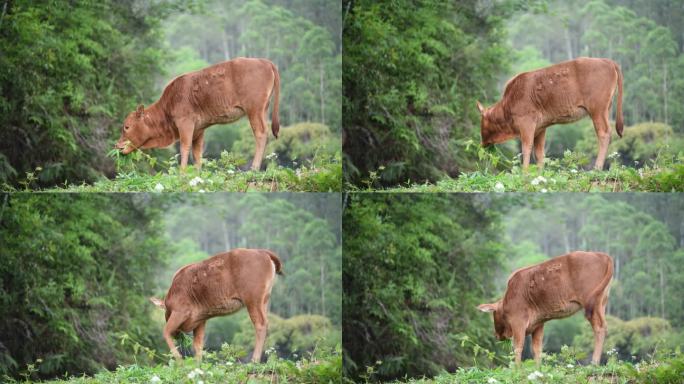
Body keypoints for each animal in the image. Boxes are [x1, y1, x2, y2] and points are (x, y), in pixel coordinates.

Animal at [152, 248, 284, 362]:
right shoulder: (201, 319)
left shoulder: (180, 312)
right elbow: (198, 345)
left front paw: (180, 361)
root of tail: (264, 252)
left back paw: (254, 360)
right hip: (264, 300)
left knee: (260, 324)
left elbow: (165, 331)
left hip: (252, 300)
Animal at [478, 57, 624, 170]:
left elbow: (526, 149)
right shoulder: (540, 128)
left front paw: (524, 173)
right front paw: (539, 173)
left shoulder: (527, 123)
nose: (482, 143)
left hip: (597, 110)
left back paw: (597, 168)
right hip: (604, 110)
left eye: (482, 122)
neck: (507, 104)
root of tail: (608, 61)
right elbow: (539, 153)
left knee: (604, 133)